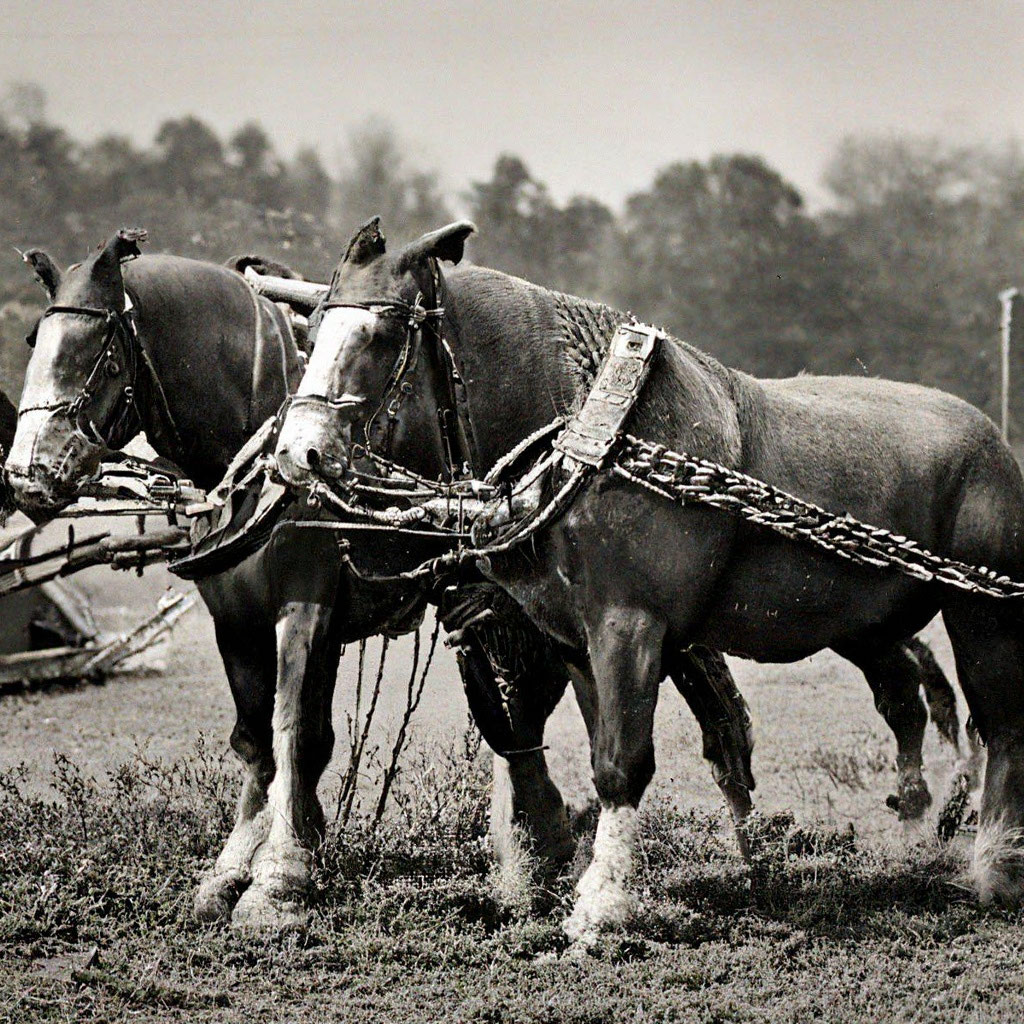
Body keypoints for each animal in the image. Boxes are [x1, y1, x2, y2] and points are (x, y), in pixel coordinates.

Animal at [2, 230, 774, 929]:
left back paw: (748, 855)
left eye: (98, 352)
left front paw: (280, 881)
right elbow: (257, 742)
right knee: (537, 723)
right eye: (36, 343)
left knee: (713, 716)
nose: (26, 474)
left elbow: (297, 735)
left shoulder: (307, 609)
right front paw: (234, 866)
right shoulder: (235, 619)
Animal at [274, 220, 1024, 937]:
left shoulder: (629, 626)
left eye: (381, 335)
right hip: (869, 625)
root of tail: (993, 438)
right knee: (908, 700)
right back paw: (918, 836)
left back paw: (994, 867)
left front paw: (602, 907)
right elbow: (598, 747)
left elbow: (621, 765)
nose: (297, 453)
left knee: (1001, 724)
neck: (590, 436)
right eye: (310, 334)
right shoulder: (578, 643)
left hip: (983, 613)